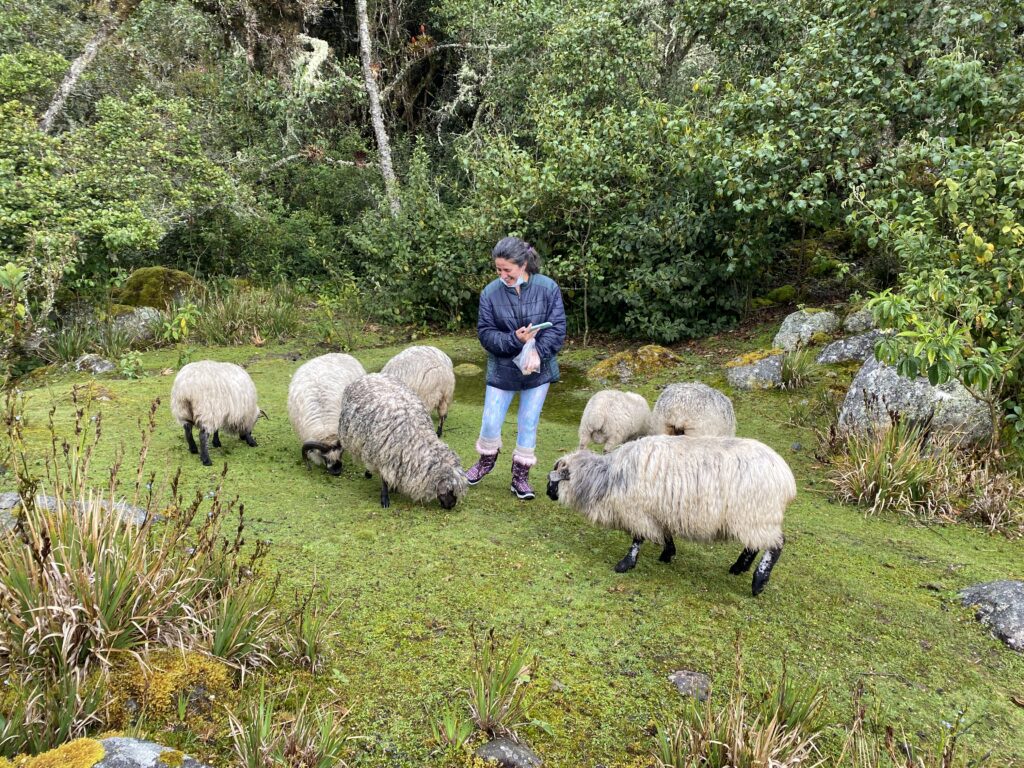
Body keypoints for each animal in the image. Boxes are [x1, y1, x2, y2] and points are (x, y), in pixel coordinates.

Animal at [337, 374, 468, 512]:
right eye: (450, 489)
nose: (451, 505)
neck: (415, 434)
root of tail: (370, 375)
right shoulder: (384, 455)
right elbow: (384, 479)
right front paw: (385, 499)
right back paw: (368, 473)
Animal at [544, 436, 790, 598]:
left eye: (553, 479)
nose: (547, 493)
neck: (607, 478)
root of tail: (786, 477)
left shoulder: (638, 512)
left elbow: (637, 539)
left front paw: (625, 564)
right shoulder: (659, 513)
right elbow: (665, 534)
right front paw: (668, 553)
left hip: (756, 514)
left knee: (776, 545)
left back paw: (758, 582)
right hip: (753, 519)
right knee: (754, 545)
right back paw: (739, 567)